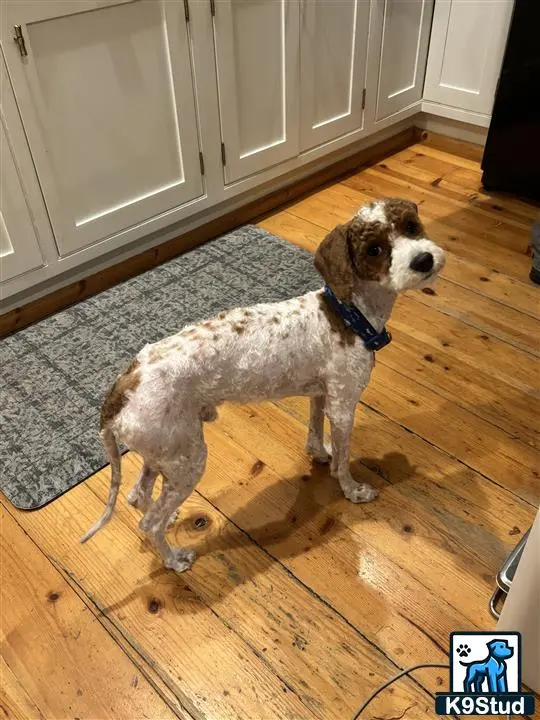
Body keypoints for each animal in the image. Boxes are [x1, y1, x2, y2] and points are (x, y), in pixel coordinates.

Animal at [81, 197, 445, 572]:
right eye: (374, 249)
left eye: (411, 226)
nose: (423, 260)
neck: (348, 316)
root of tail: (122, 386)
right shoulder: (344, 406)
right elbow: (344, 460)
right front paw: (352, 490)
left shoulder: (321, 394)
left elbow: (314, 431)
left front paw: (319, 454)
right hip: (187, 458)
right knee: (149, 522)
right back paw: (175, 559)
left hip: (164, 453)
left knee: (138, 495)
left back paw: (171, 521)